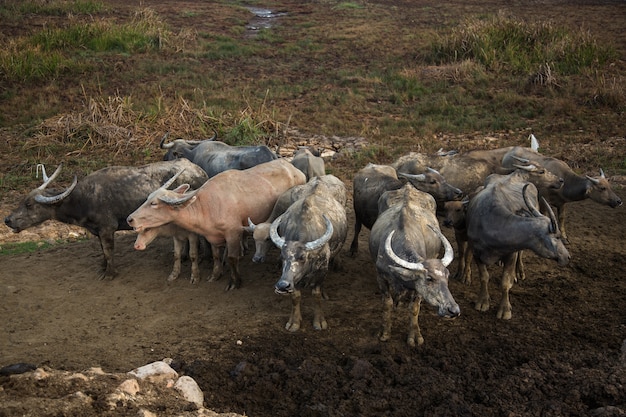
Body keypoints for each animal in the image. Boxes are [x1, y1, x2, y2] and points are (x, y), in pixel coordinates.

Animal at [4, 161, 207, 278]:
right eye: (22, 201)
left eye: (29, 204)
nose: (7, 220)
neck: (83, 200)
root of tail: (200, 170)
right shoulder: (97, 232)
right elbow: (102, 250)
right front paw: (102, 267)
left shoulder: (107, 229)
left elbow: (109, 251)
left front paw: (109, 273)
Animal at [127, 158, 304, 290]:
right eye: (148, 198)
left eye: (154, 203)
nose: (130, 219)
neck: (206, 206)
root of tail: (295, 169)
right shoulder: (212, 236)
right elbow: (216, 255)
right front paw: (215, 274)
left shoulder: (233, 234)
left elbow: (232, 258)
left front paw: (235, 281)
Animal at [268, 179, 346, 332]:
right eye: (282, 257)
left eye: (302, 257)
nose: (282, 285)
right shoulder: (293, 279)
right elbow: (295, 296)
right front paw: (294, 322)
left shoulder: (322, 269)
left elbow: (316, 295)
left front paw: (319, 321)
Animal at [366, 184, 458, 346]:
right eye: (429, 279)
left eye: (447, 276)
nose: (453, 310)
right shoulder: (381, 276)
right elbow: (387, 303)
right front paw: (384, 332)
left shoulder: (417, 289)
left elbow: (414, 307)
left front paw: (415, 336)